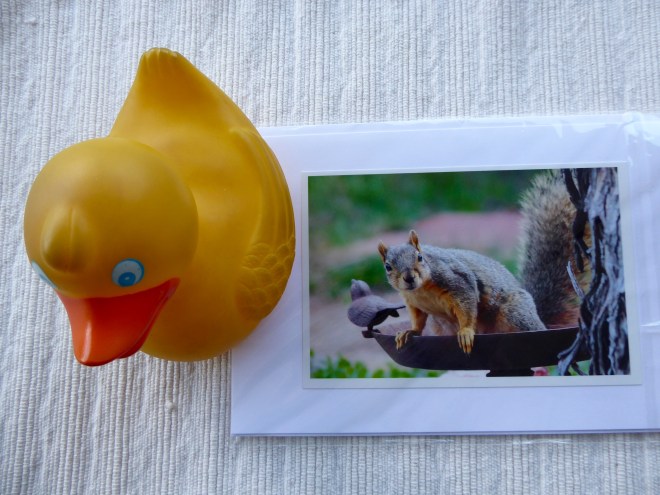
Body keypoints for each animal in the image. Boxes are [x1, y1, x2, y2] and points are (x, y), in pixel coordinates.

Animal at [377, 171, 588, 354]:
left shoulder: (457, 282)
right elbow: (418, 320)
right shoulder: (413, 303)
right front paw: (409, 332)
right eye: (388, 267)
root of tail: (538, 314)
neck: (421, 290)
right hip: (439, 325)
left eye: (420, 257)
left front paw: (466, 332)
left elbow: (467, 308)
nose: (409, 278)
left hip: (514, 313)